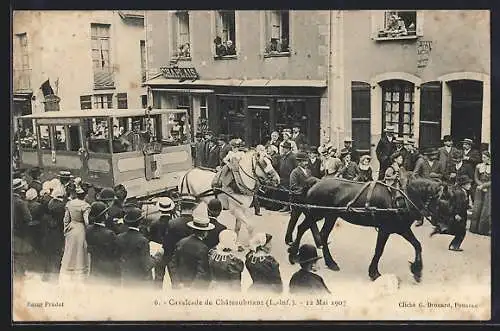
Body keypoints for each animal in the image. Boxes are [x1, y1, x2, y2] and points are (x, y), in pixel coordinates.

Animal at [288, 178, 466, 284]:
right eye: (444, 202)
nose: (445, 228)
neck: (402, 199)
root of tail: (315, 182)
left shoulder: (401, 229)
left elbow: (417, 245)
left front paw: (417, 271)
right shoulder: (385, 229)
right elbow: (379, 250)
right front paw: (374, 272)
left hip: (330, 216)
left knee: (322, 234)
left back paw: (330, 262)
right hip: (317, 213)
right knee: (302, 228)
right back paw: (294, 254)